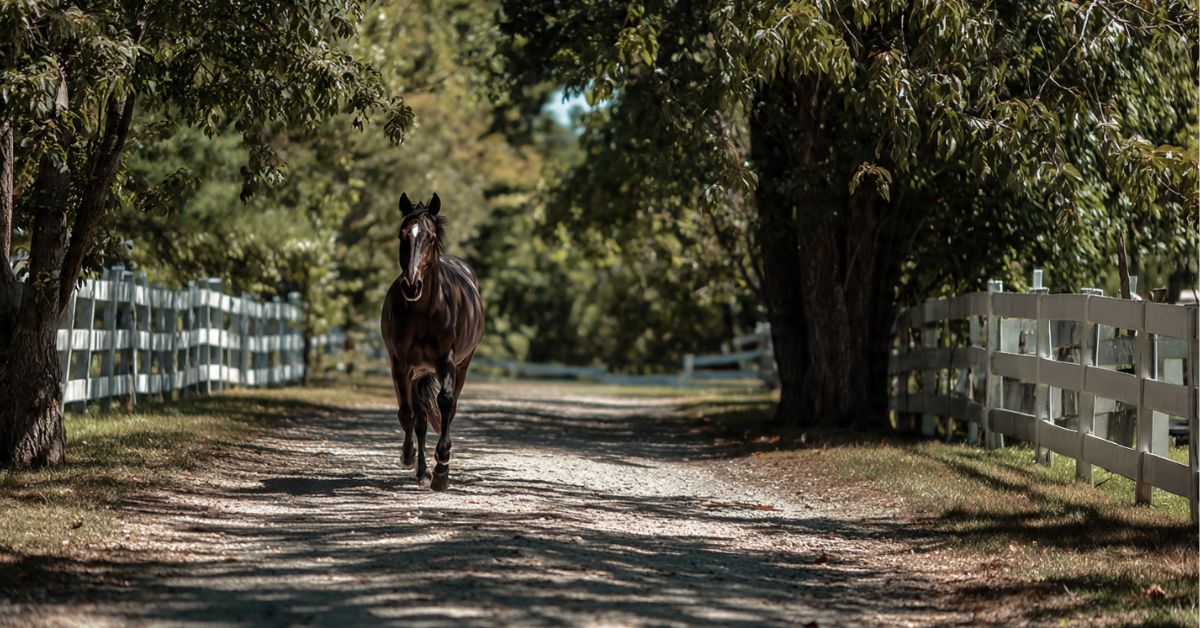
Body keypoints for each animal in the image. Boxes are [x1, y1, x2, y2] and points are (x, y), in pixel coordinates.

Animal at [380, 193, 485, 491]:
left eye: (430, 237)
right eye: (402, 235)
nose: (412, 285)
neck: (424, 311)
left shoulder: (445, 360)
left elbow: (446, 403)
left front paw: (442, 469)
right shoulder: (401, 365)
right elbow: (407, 415)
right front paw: (408, 457)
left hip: (462, 365)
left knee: (449, 406)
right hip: (418, 373)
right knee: (420, 419)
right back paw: (420, 470)